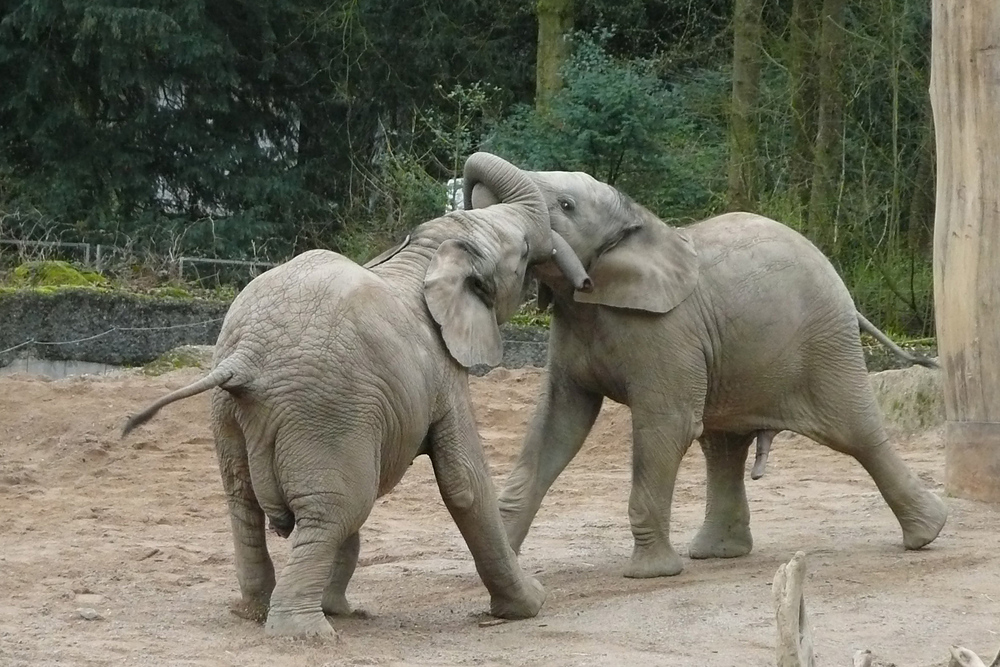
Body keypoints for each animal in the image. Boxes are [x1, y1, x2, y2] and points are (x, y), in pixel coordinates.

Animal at [123, 153, 592, 640]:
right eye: (523, 252)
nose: (583, 283)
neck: (426, 255)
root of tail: (246, 355)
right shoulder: (443, 374)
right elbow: (464, 483)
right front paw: (532, 603)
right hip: (325, 410)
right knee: (337, 509)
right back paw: (305, 633)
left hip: (234, 415)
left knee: (247, 505)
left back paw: (268, 612)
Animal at [464, 163, 948, 580]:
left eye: (565, 206)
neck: (641, 223)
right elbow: (558, 425)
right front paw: (499, 565)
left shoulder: (666, 331)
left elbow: (666, 425)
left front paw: (650, 574)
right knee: (723, 448)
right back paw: (717, 553)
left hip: (826, 342)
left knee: (856, 433)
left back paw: (929, 534)